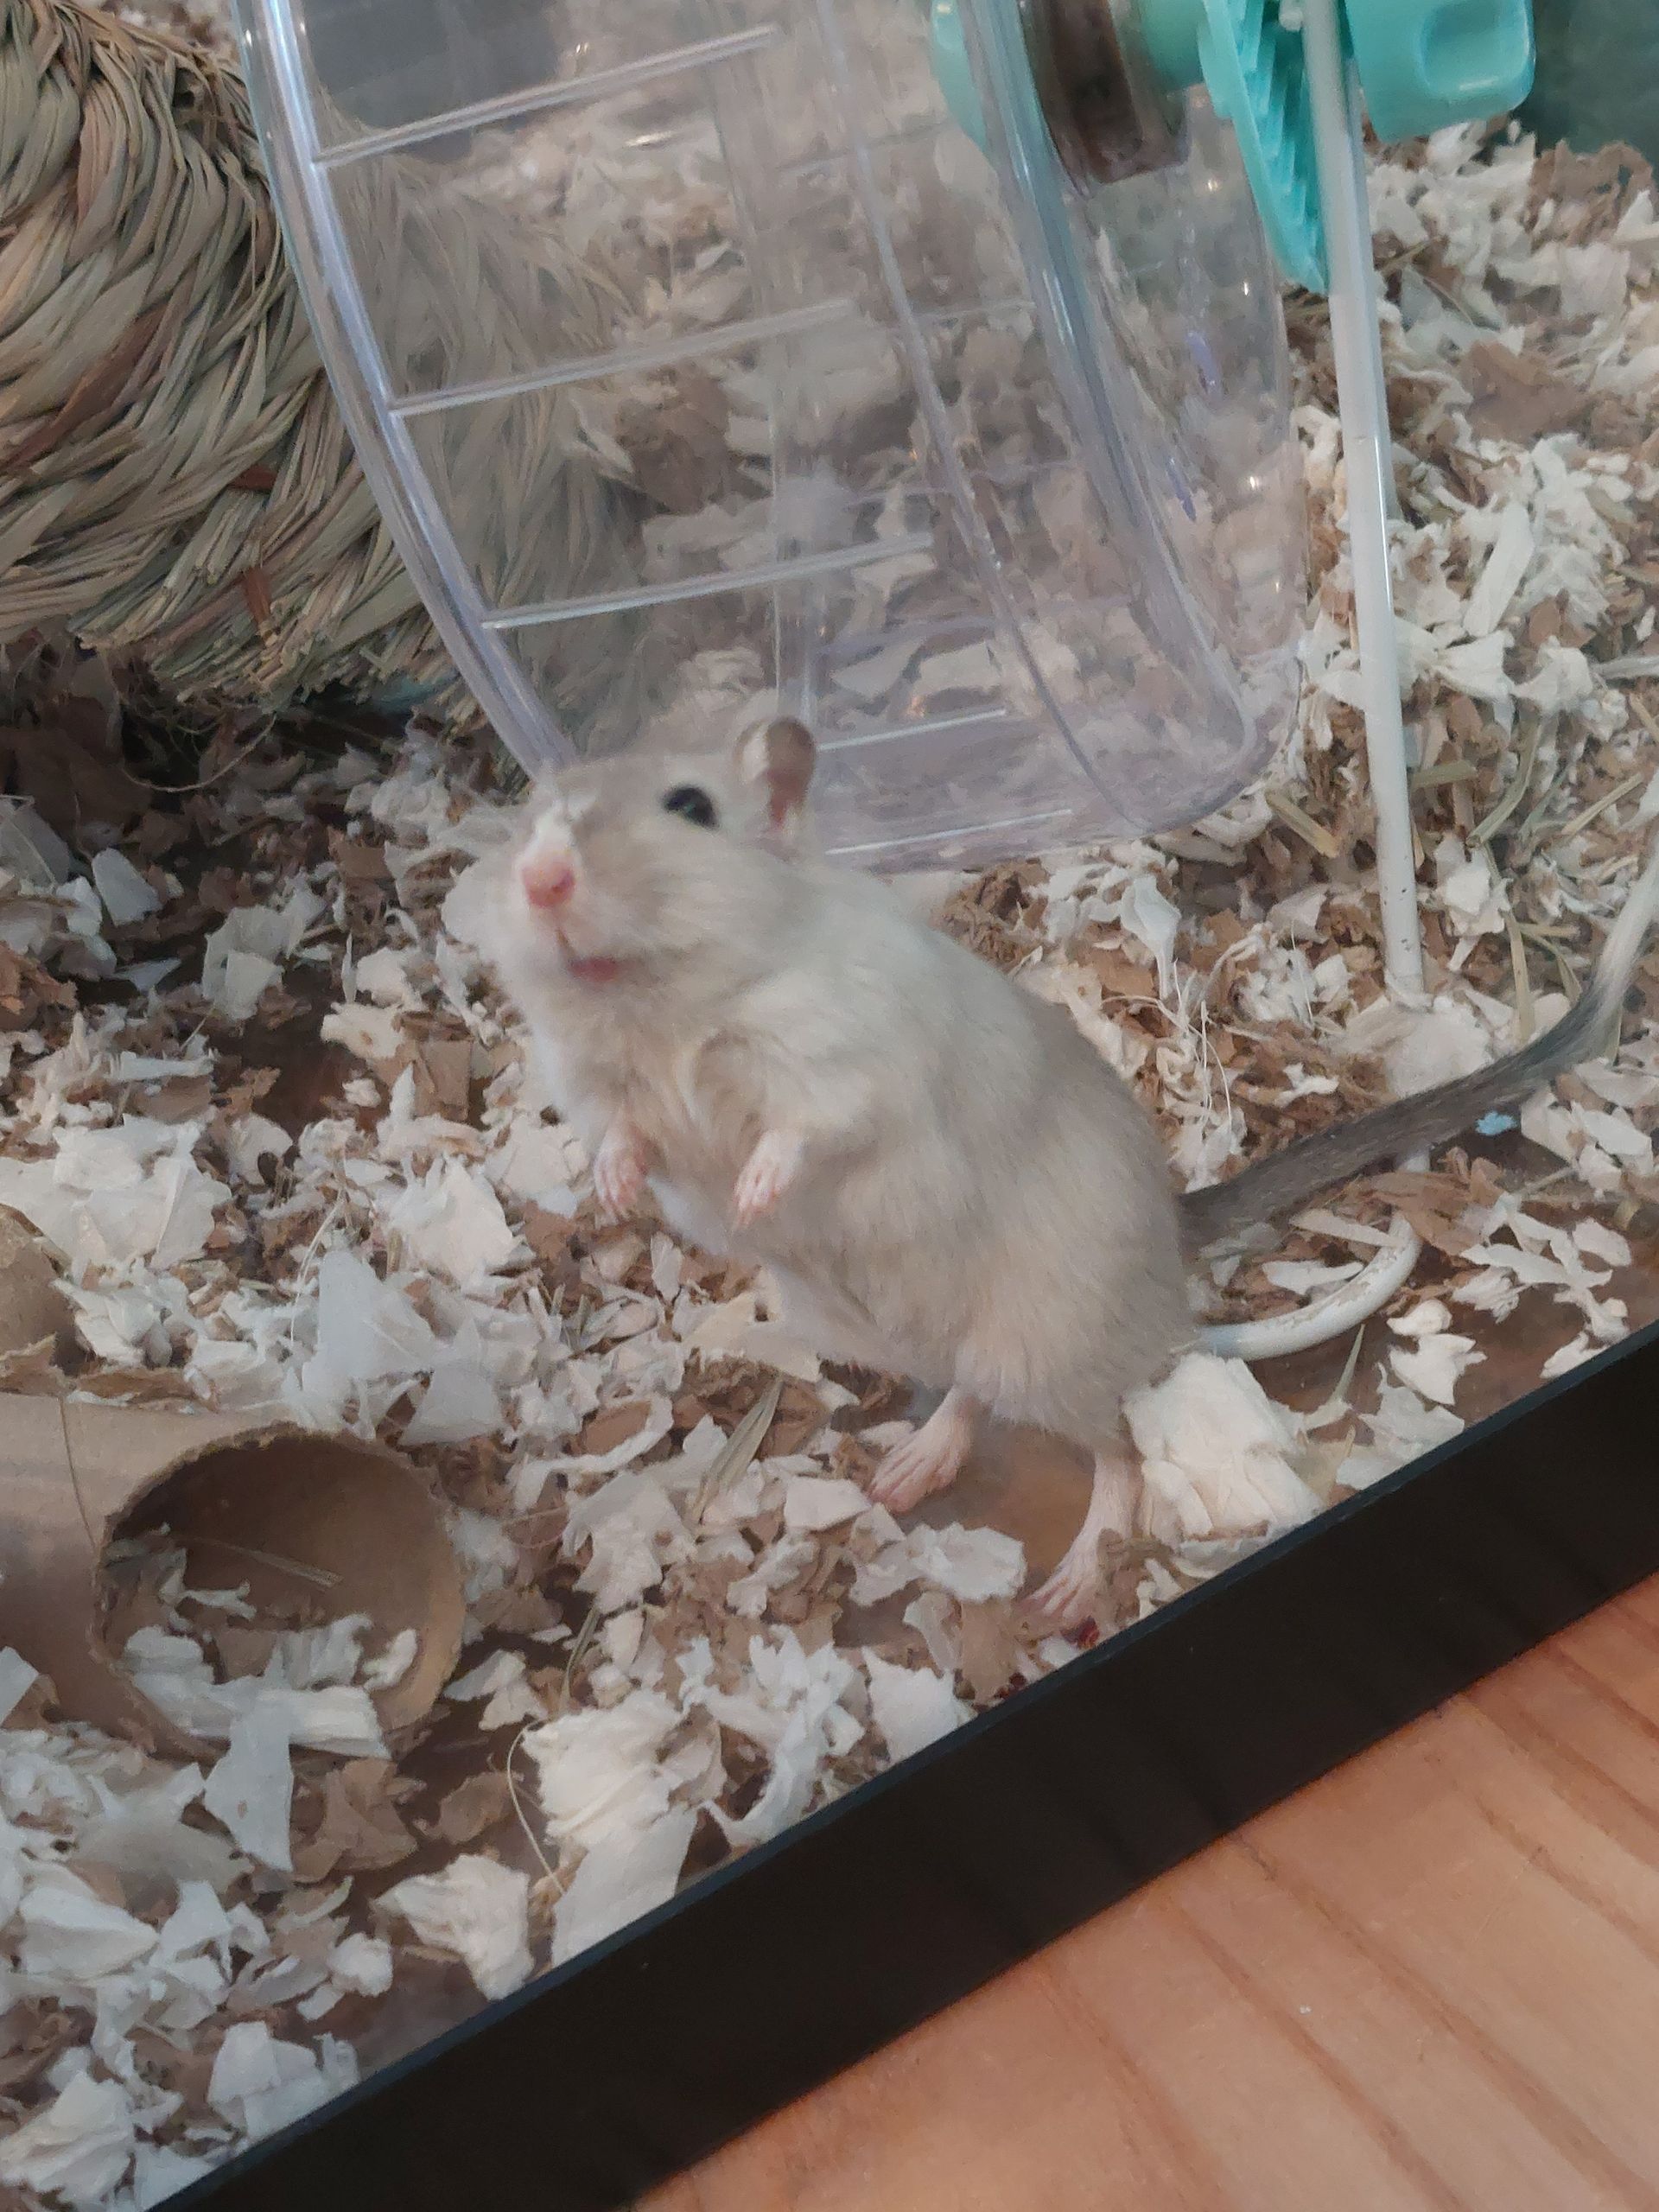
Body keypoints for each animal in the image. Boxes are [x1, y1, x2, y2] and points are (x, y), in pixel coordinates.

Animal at [470, 716, 1659, 1626]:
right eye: (537, 817)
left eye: (691, 806)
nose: (538, 877)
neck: (658, 1004)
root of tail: (1176, 1233)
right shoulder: (599, 1088)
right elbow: (626, 1138)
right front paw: (616, 1191)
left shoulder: (840, 1067)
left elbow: (799, 1133)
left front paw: (756, 1188)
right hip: (880, 1331)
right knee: (966, 1395)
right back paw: (905, 1472)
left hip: (1045, 1350)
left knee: (1118, 1453)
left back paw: (1075, 1583)